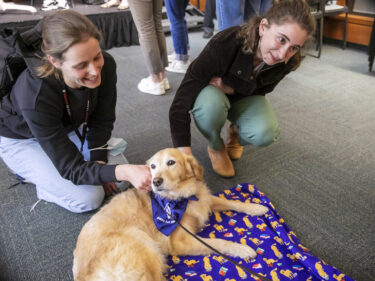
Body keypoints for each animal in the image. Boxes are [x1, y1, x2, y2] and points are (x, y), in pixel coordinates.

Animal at [72, 148, 268, 278]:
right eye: (152, 167)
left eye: (171, 162)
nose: (156, 181)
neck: (180, 199)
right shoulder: (181, 242)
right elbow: (218, 242)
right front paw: (242, 248)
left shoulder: (204, 199)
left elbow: (230, 202)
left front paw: (257, 207)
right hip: (146, 248)